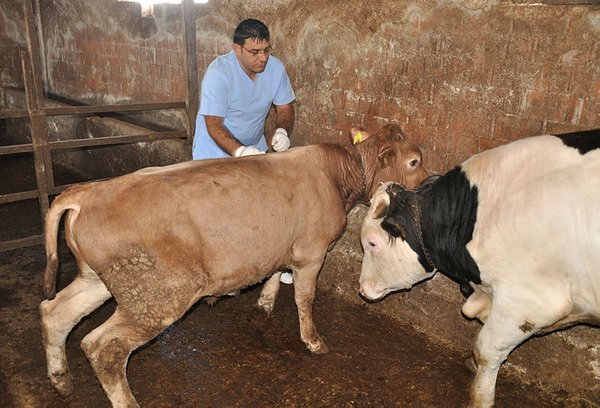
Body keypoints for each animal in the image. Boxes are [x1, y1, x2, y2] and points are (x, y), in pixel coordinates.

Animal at [39, 122, 428, 406]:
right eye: (414, 161)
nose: (425, 191)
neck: (337, 176)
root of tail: (87, 192)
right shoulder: (312, 251)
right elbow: (305, 298)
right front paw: (313, 341)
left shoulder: (281, 245)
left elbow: (275, 272)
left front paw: (264, 304)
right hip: (157, 296)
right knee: (102, 346)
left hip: (100, 279)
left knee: (55, 313)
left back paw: (61, 381)